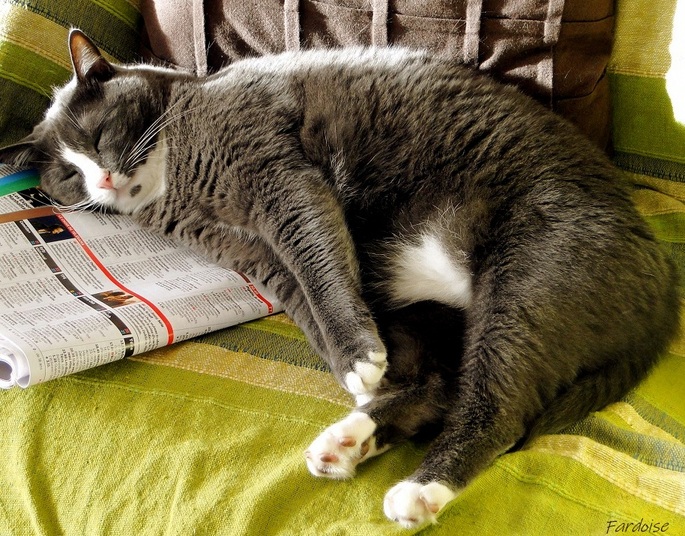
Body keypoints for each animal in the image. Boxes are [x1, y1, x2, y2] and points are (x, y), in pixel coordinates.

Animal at [1, 30, 680, 528]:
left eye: (95, 137)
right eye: (66, 175)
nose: (101, 180)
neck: (181, 177)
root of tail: (663, 288)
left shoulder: (275, 172)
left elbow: (316, 254)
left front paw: (359, 360)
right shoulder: (250, 254)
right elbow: (301, 292)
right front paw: (360, 370)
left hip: (528, 281)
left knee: (499, 410)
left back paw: (420, 490)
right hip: (427, 310)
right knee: (439, 386)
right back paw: (352, 436)